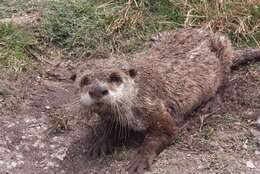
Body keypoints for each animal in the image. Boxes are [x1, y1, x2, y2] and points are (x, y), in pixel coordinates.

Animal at [73, 27, 260, 173]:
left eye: (115, 77)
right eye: (85, 80)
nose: (97, 90)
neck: (137, 94)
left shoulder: (155, 107)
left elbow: (165, 132)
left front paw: (142, 157)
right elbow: (110, 128)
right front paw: (101, 142)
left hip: (223, 48)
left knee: (225, 81)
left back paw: (212, 103)